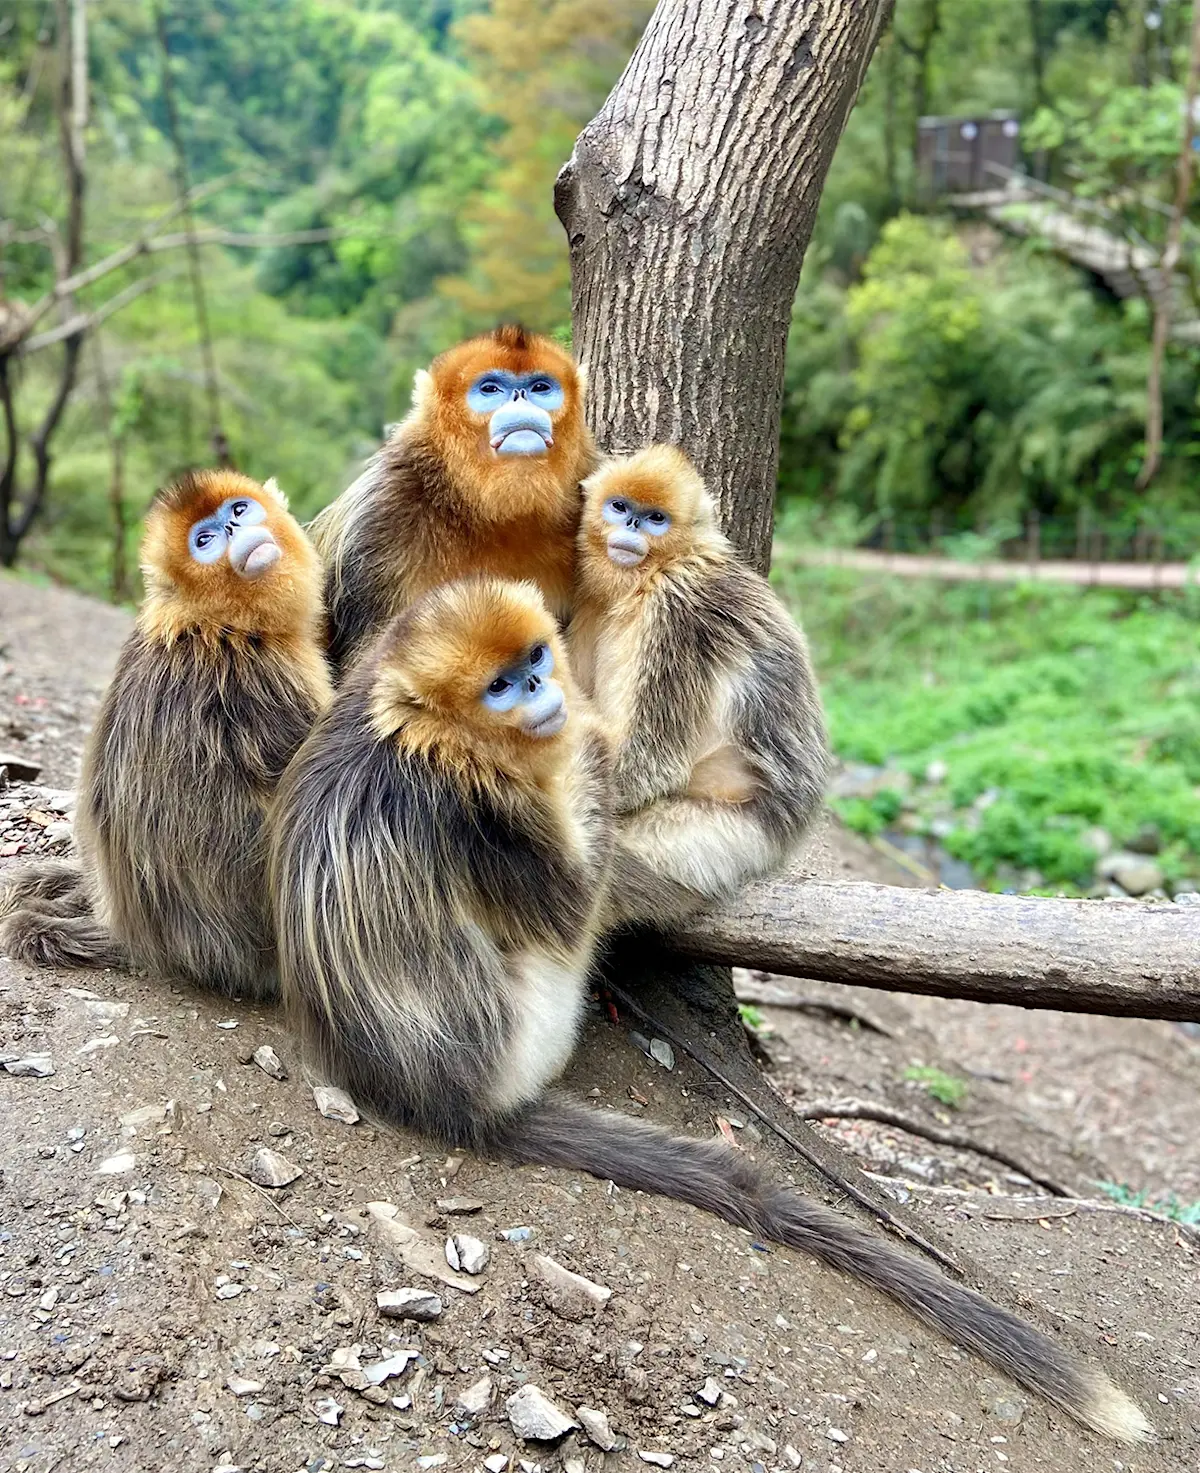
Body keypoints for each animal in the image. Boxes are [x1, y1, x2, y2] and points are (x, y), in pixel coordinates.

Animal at [0, 470, 331, 997]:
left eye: (238, 511)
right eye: (204, 541)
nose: (234, 531)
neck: (212, 621)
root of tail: (147, 940)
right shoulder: (262, 672)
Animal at [267, 574, 1148, 1444]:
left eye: (533, 663)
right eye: (499, 686)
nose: (545, 692)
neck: (430, 733)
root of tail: (451, 1100)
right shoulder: (479, 808)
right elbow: (569, 901)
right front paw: (587, 739)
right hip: (537, 1020)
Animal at [568, 444, 830, 928]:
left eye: (655, 518)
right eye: (620, 508)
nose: (631, 526)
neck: (654, 573)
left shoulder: (678, 609)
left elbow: (648, 765)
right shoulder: (591, 599)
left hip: (716, 845)